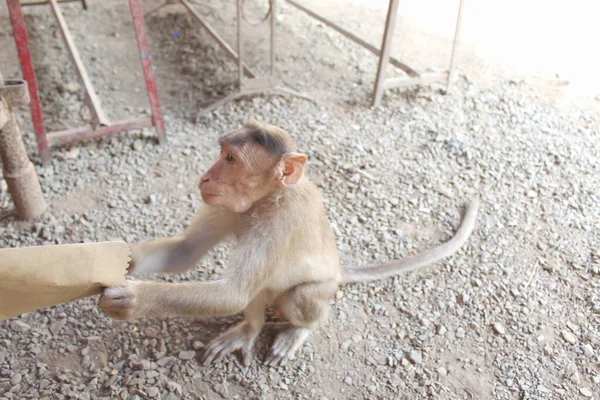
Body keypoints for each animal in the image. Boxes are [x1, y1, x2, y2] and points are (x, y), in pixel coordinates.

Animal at [99, 120, 478, 368]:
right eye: (222, 152)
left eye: (231, 160)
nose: (205, 177)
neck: (268, 199)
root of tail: (339, 271)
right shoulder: (228, 208)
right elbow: (186, 251)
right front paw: (123, 260)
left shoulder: (279, 226)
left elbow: (232, 293)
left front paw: (134, 299)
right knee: (263, 288)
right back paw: (251, 329)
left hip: (323, 289)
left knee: (295, 296)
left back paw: (295, 330)